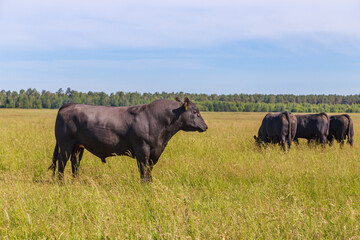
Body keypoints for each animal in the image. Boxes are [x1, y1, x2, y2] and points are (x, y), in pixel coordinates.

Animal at [49, 97, 210, 182]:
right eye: (195, 112)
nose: (205, 126)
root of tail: (69, 104)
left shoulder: (154, 153)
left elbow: (149, 171)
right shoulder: (142, 151)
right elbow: (143, 170)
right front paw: (144, 186)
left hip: (78, 147)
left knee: (75, 163)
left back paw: (75, 181)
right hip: (65, 145)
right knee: (62, 163)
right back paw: (61, 183)